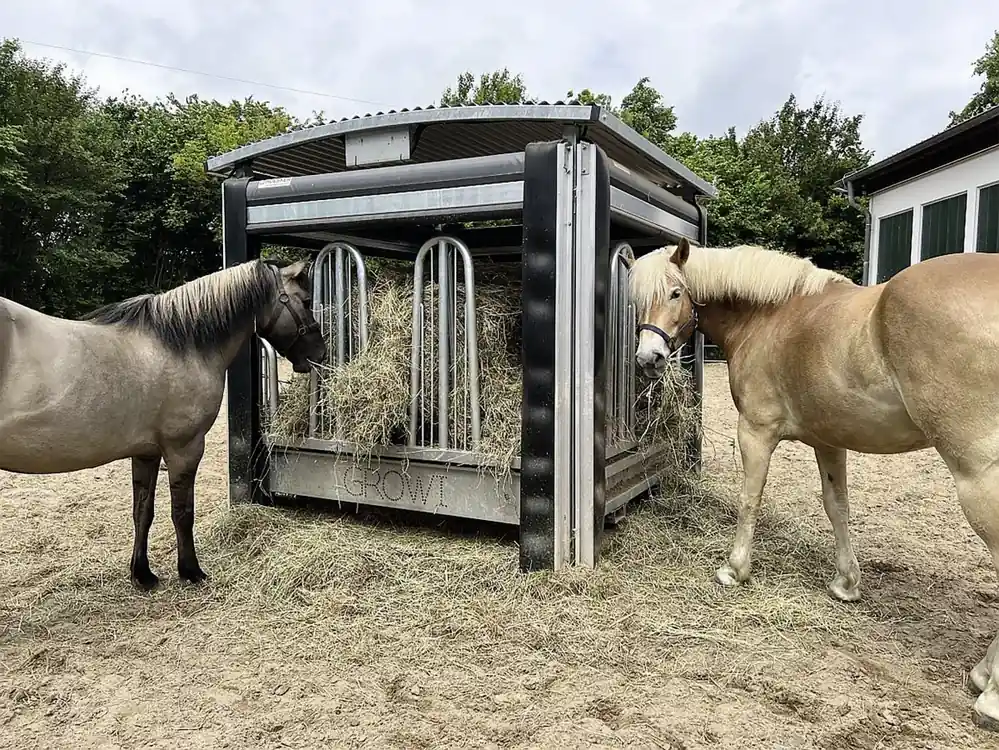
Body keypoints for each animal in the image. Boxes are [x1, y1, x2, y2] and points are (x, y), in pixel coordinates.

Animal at [0, 258, 326, 590]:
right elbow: (182, 512)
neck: (182, 344)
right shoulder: (185, 448)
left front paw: (142, 573)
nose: (320, 353)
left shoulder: (146, 452)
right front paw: (191, 570)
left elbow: (142, 511)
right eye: (306, 301)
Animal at [630, 237, 999, 730]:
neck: (770, 317)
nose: (648, 359)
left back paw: (990, 695)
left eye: (675, 293)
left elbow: (750, 500)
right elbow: (837, 508)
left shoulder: (756, 432)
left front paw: (734, 569)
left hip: (977, 476)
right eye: (637, 300)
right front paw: (846, 584)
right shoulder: (829, 441)